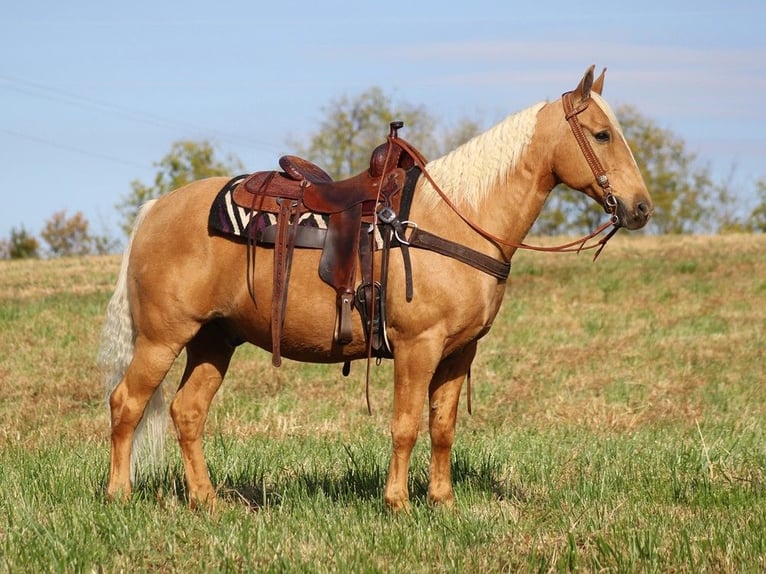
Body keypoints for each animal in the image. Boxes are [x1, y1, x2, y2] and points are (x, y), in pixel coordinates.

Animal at [100, 66, 656, 512]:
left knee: (187, 412)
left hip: (214, 339)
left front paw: (443, 503)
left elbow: (442, 426)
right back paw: (119, 495)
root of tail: (156, 209)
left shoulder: (459, 352)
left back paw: (207, 501)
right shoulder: (417, 346)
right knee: (126, 403)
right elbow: (406, 424)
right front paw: (398, 504)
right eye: (602, 135)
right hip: (163, 338)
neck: (455, 220)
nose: (641, 208)